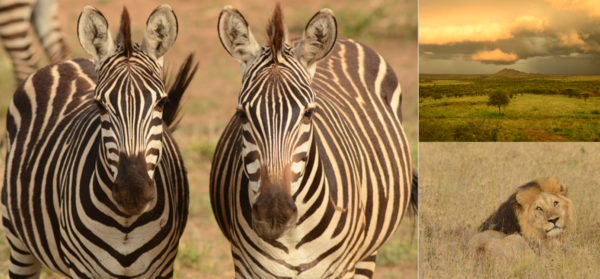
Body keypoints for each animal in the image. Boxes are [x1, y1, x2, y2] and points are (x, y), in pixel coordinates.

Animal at [1, 5, 195, 278]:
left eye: (161, 103)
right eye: (100, 105)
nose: (133, 193)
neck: (126, 226)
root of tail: (65, 62)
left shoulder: (162, 267)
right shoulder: (83, 269)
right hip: (18, 240)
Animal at [211, 4, 418, 279]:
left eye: (308, 113)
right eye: (242, 115)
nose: (274, 215)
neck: (291, 239)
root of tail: (344, 40)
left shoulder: (342, 269)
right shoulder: (247, 268)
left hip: (367, 254)